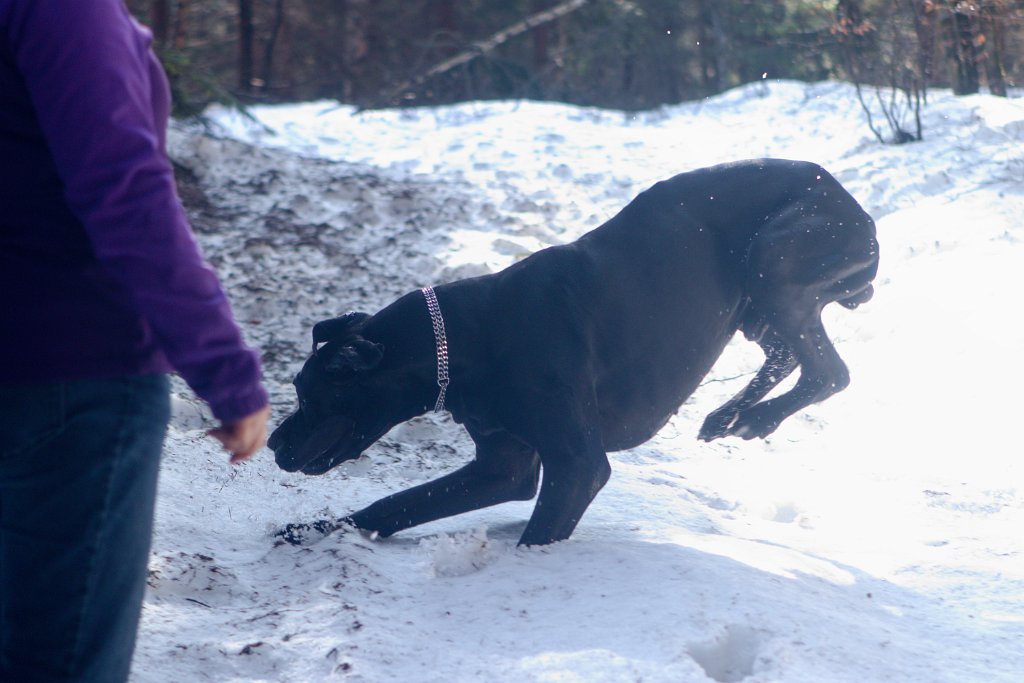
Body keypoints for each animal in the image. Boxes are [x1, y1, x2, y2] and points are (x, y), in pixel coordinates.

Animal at [270, 157, 880, 548]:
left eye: (310, 395)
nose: (274, 443)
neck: (465, 338)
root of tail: (851, 200)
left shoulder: (577, 465)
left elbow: (539, 534)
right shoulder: (503, 465)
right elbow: (391, 506)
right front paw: (312, 532)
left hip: (777, 259)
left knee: (832, 372)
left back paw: (755, 418)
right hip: (758, 306)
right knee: (788, 356)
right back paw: (728, 415)